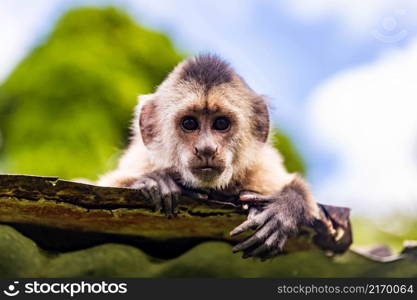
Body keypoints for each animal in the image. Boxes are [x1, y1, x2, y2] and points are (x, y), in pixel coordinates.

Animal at [99, 54, 320, 260]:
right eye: (189, 123)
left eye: (221, 123)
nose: (206, 149)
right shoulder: (141, 159)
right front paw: (154, 181)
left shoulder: (262, 167)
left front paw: (285, 207)